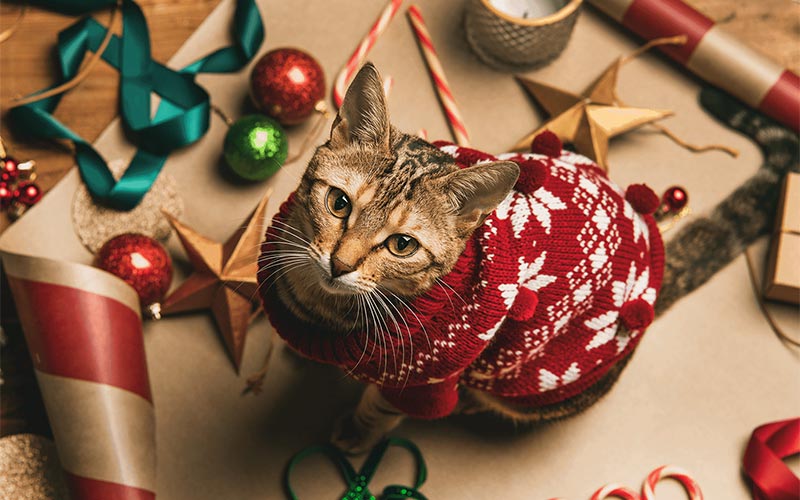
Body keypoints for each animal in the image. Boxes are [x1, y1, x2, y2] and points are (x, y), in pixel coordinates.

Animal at [260, 62, 796, 454]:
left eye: (401, 245)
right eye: (339, 203)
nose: (340, 264)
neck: (319, 305)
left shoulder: (425, 381)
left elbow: (381, 407)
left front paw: (357, 431)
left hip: (535, 389)